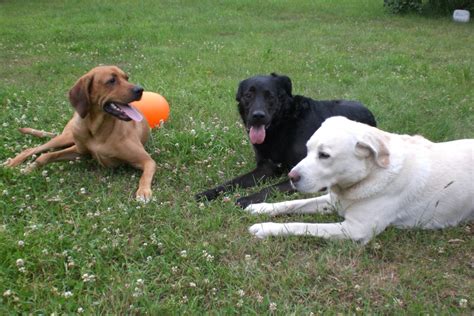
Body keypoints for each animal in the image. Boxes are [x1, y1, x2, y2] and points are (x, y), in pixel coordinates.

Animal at [3, 65, 156, 201]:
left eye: (126, 78)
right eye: (111, 80)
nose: (140, 89)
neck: (98, 130)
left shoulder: (147, 160)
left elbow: (145, 175)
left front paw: (143, 192)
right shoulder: (80, 151)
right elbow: (46, 156)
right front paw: (29, 168)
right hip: (66, 138)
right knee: (32, 149)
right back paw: (13, 162)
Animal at [194, 73, 376, 209]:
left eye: (270, 96)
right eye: (248, 95)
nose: (258, 116)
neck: (281, 125)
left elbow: (270, 188)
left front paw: (247, 199)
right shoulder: (265, 168)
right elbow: (232, 182)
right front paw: (209, 193)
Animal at [246, 117, 472, 243]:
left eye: (324, 155)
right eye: (307, 149)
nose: (291, 177)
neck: (370, 175)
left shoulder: (355, 229)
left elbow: (302, 225)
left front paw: (265, 228)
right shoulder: (333, 201)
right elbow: (293, 203)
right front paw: (261, 207)